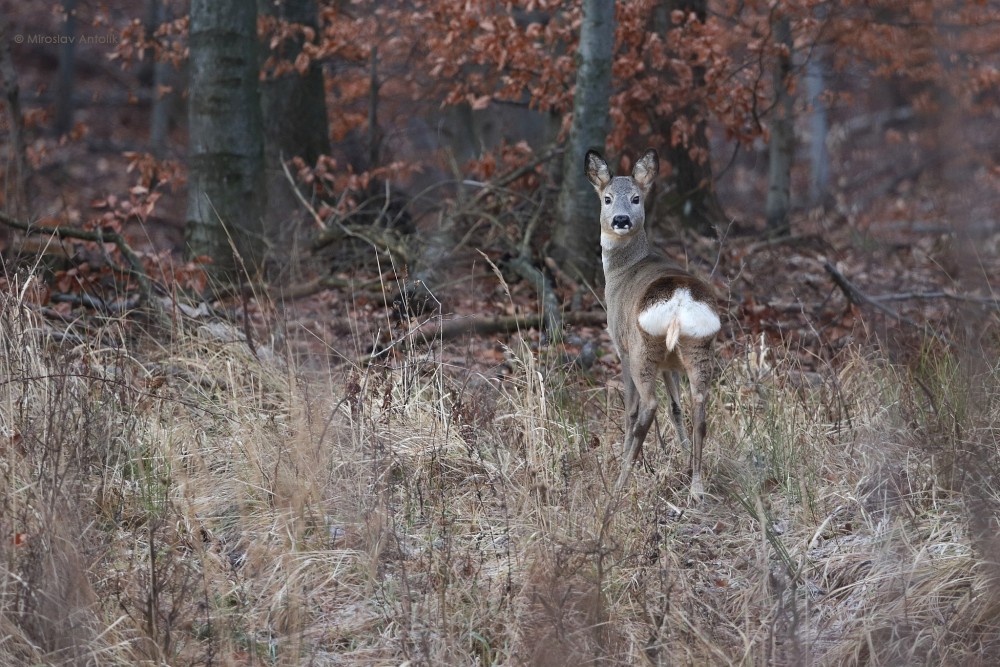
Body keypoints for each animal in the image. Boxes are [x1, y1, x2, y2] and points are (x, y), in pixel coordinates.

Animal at [584, 149, 720, 498]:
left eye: (636, 198)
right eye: (607, 198)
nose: (620, 220)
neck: (622, 271)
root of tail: (680, 300)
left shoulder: (620, 345)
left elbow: (630, 409)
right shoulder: (670, 364)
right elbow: (676, 407)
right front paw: (682, 454)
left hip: (642, 348)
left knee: (646, 407)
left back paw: (620, 482)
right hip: (697, 346)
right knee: (699, 407)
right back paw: (696, 487)